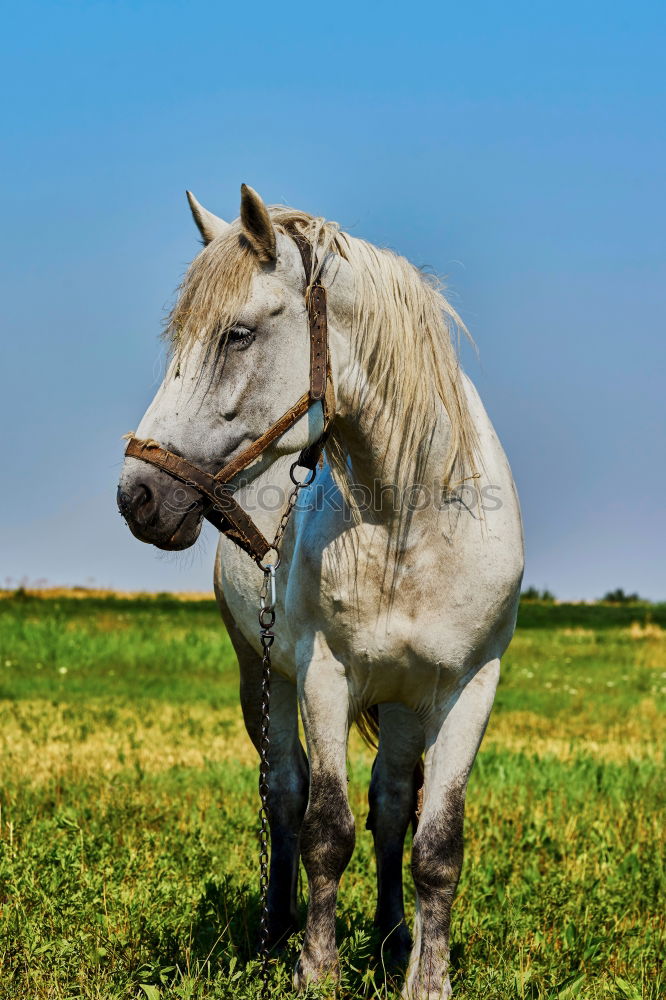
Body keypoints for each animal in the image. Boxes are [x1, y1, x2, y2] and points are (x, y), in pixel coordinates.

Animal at [119, 184, 524, 996]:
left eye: (238, 335)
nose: (137, 497)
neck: (410, 521)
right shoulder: (322, 677)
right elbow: (325, 830)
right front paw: (317, 967)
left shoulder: (470, 687)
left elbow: (436, 843)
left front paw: (426, 977)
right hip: (262, 674)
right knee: (283, 792)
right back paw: (277, 928)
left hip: (402, 702)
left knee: (393, 805)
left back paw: (394, 938)